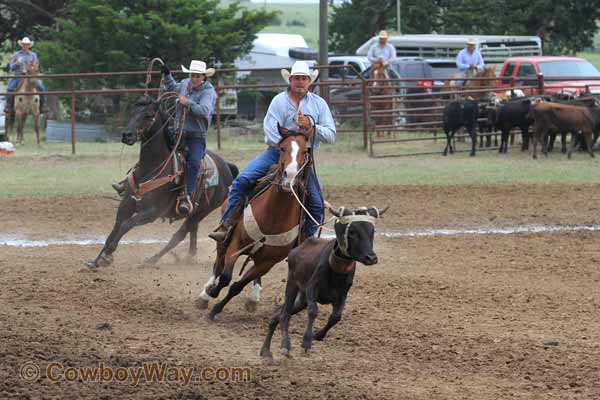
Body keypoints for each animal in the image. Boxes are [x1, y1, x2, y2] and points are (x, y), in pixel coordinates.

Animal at [86, 94, 237, 268]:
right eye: (132, 112)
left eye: (149, 115)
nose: (127, 135)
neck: (150, 169)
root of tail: (226, 166)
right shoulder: (126, 205)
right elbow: (115, 229)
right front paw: (97, 260)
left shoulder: (152, 212)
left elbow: (126, 225)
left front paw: (107, 255)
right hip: (196, 210)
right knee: (192, 230)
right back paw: (189, 256)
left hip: (204, 210)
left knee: (179, 235)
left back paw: (152, 260)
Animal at [200, 126, 314, 320]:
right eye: (281, 148)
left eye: (305, 151)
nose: (289, 176)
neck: (274, 215)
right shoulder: (236, 243)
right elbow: (225, 277)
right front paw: (212, 292)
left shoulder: (268, 262)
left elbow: (237, 286)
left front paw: (216, 309)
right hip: (224, 236)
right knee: (218, 263)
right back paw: (205, 294)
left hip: (259, 257)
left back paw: (253, 298)